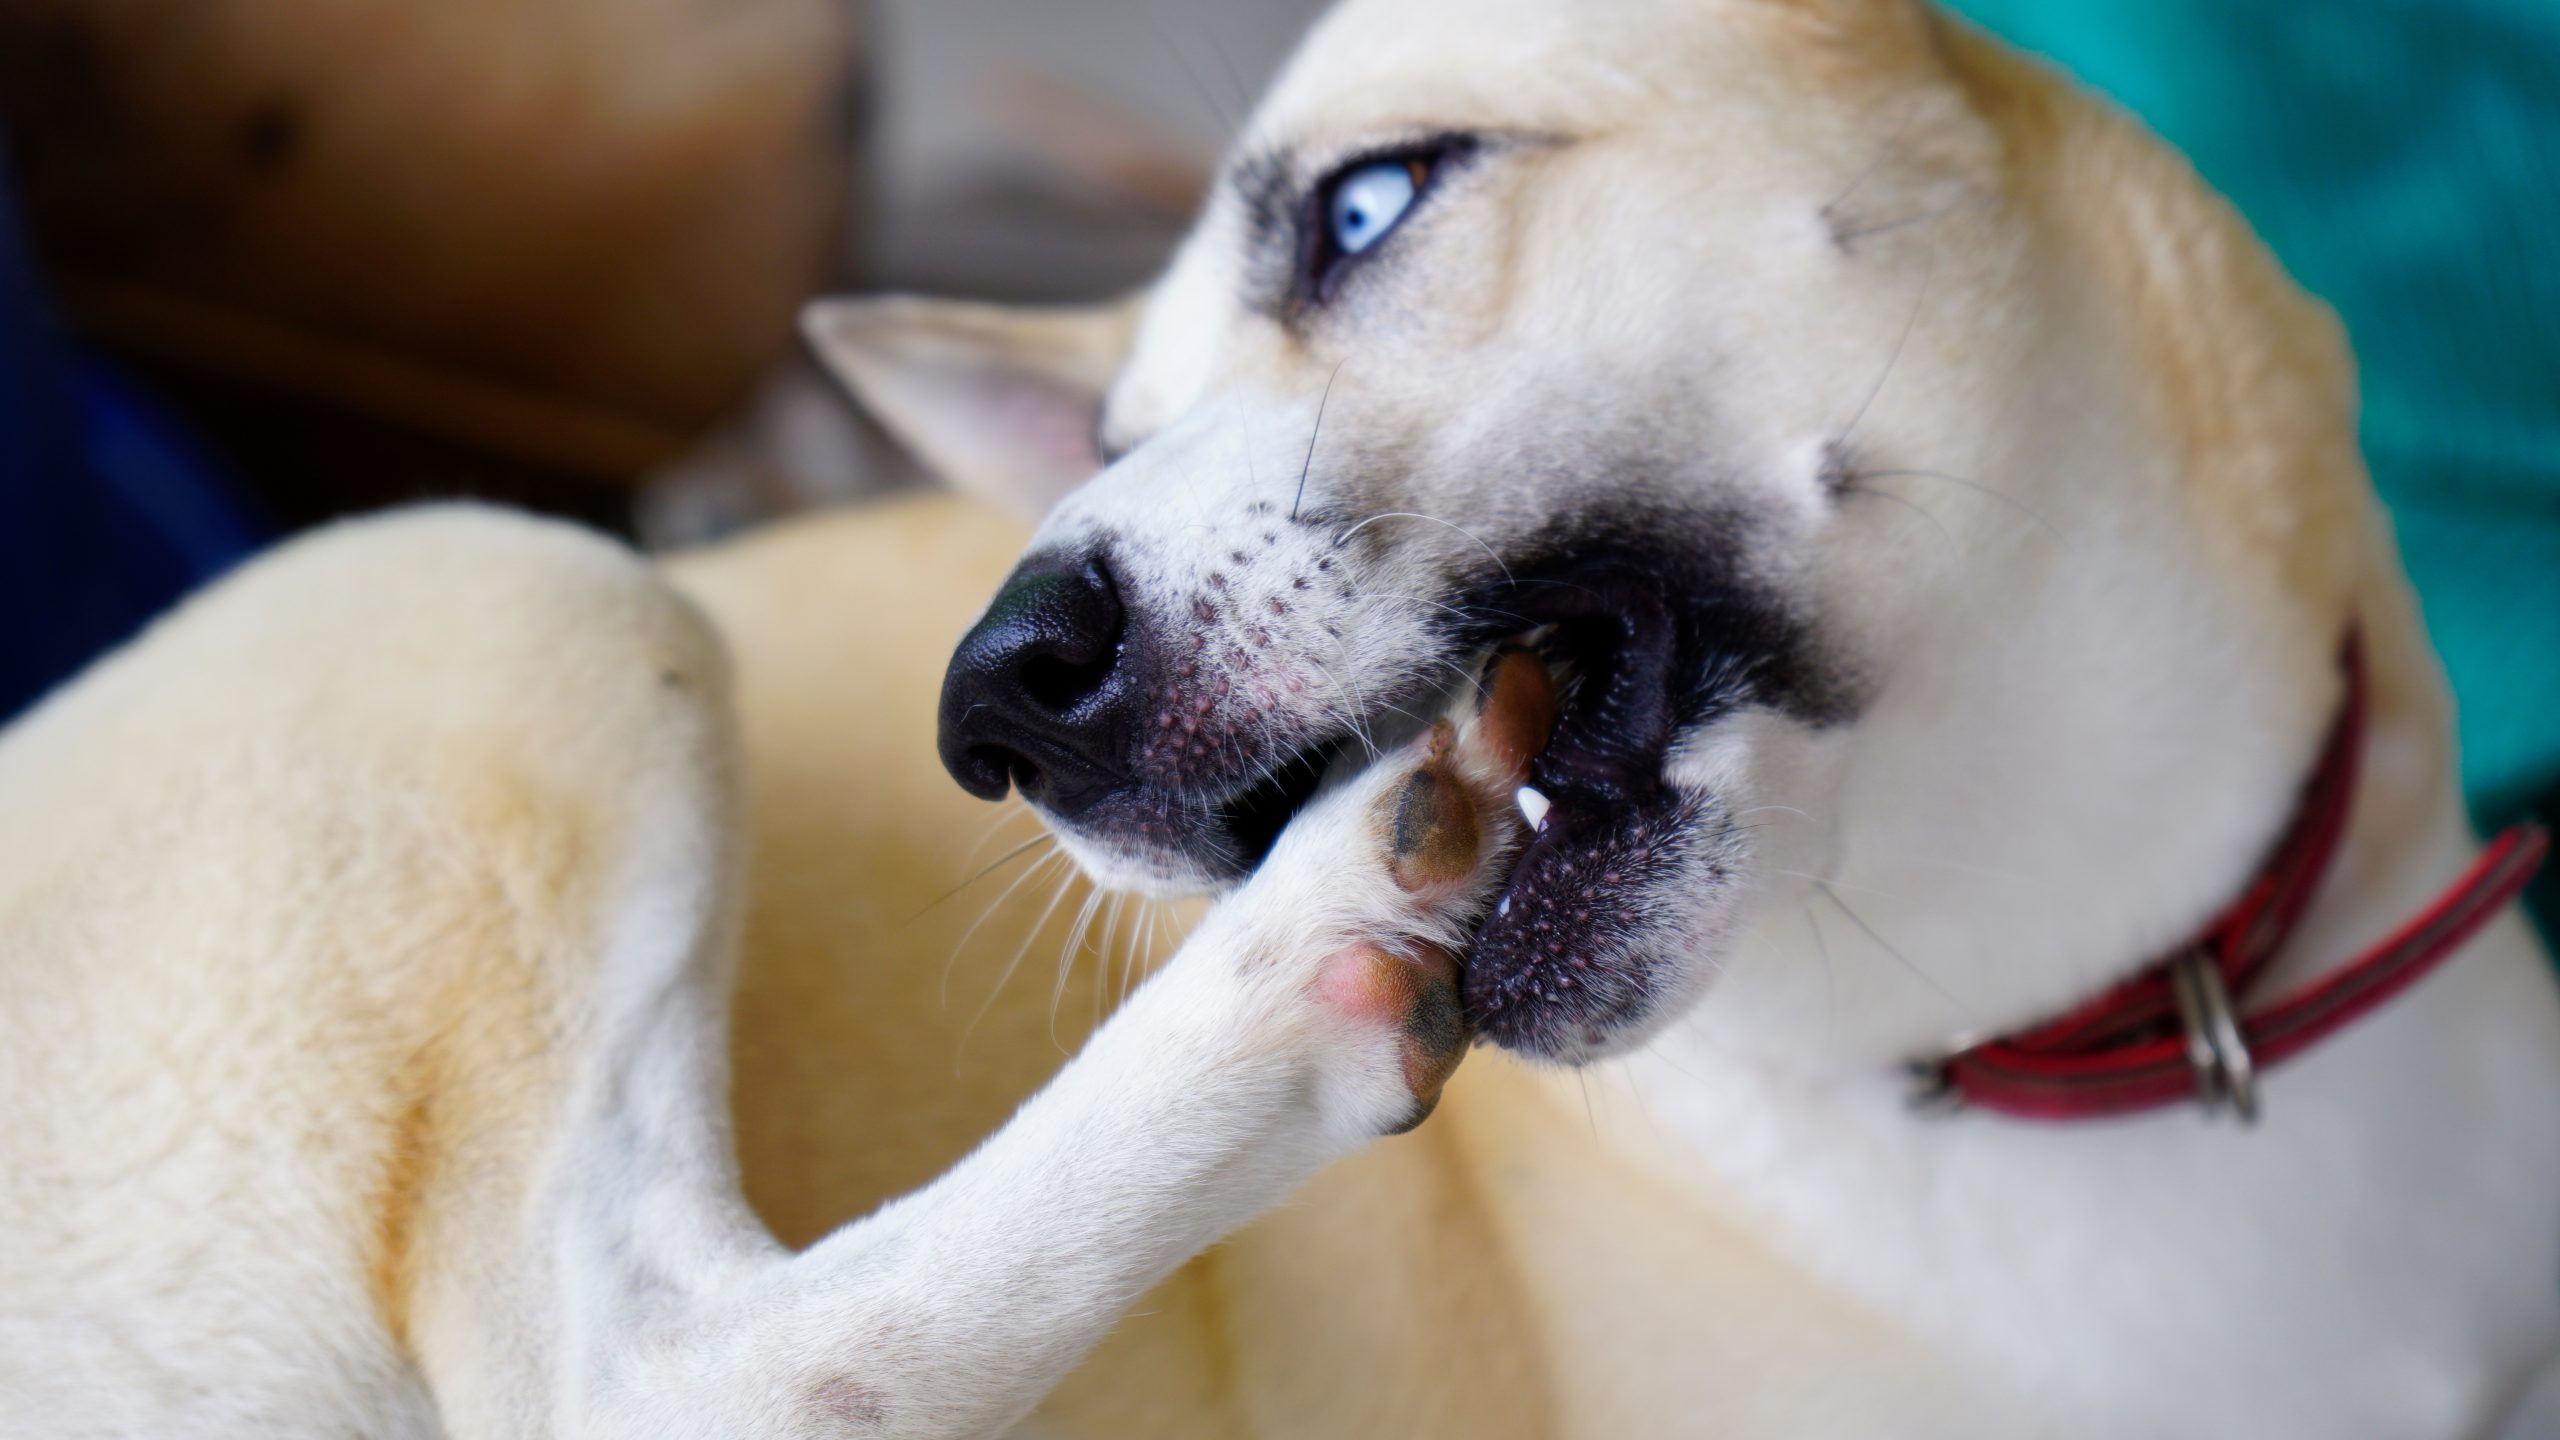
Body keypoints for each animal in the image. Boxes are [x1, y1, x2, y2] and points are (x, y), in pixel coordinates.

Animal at [5, 2, 2560, 1434]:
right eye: (1109, 429)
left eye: (1362, 205)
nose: (992, 698)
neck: (2115, 1016)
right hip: (513, 574)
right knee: (670, 1382)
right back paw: (1272, 996)